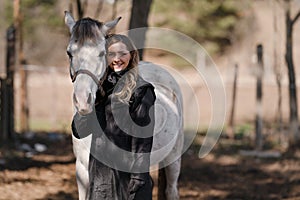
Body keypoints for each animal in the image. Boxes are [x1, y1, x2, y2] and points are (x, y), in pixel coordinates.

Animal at [64, 11, 184, 199]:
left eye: (102, 53)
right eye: (69, 53)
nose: (83, 100)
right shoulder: (82, 172)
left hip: (173, 159)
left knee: (171, 190)